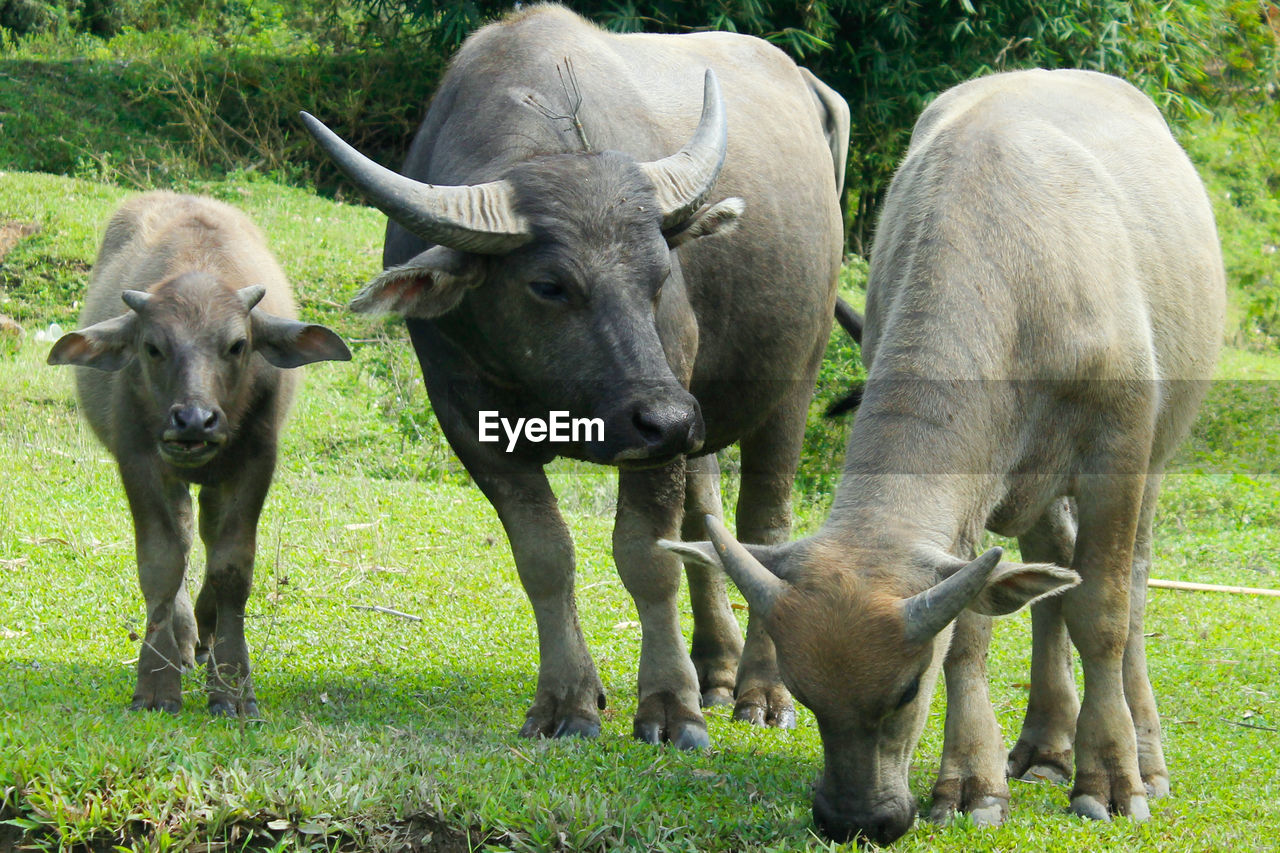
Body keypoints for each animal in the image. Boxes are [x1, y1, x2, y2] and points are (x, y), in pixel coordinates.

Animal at [48, 190, 350, 712]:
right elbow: (162, 563)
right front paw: (157, 682)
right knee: (187, 539)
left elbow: (231, 566)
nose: (193, 421)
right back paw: (188, 636)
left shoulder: (255, 463)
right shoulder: (139, 461)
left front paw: (231, 685)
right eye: (152, 347)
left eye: (238, 344)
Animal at [299, 3, 849, 742]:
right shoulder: (468, 420)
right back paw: (717, 667)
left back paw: (762, 691)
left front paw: (669, 705)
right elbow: (544, 555)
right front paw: (567, 701)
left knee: (764, 520)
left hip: (785, 382)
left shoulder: (658, 427)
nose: (666, 418)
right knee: (706, 511)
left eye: (659, 274)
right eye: (549, 285)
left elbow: (646, 556)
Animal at [665, 69, 1223, 840]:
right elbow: (972, 626)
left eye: (906, 690)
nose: (855, 819)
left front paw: (1110, 780)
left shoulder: (1120, 447)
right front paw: (971, 783)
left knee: (1131, 582)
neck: (1023, 269)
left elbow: (1103, 612)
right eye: (802, 693)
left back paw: (1144, 752)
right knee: (1049, 572)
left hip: (1156, 452)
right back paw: (1045, 745)